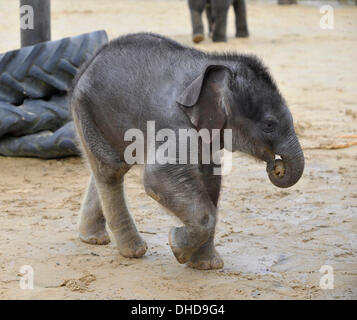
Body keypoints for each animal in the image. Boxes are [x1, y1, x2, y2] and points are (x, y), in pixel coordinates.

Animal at [70, 33, 304, 270]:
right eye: (269, 125)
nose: (276, 167)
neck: (214, 65)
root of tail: (88, 62)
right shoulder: (174, 126)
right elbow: (158, 176)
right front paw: (176, 246)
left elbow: (211, 180)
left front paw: (207, 265)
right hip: (87, 110)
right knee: (111, 170)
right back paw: (134, 251)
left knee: (111, 167)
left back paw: (93, 239)